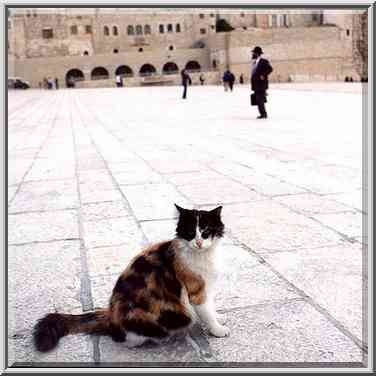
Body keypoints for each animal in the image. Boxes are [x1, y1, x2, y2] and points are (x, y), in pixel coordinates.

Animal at [33, 204, 229, 352]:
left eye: (206, 231)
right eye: (189, 232)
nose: (198, 242)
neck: (204, 256)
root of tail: (110, 313)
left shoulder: (208, 288)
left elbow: (211, 307)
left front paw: (219, 316)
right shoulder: (196, 292)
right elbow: (206, 313)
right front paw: (218, 329)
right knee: (123, 339)